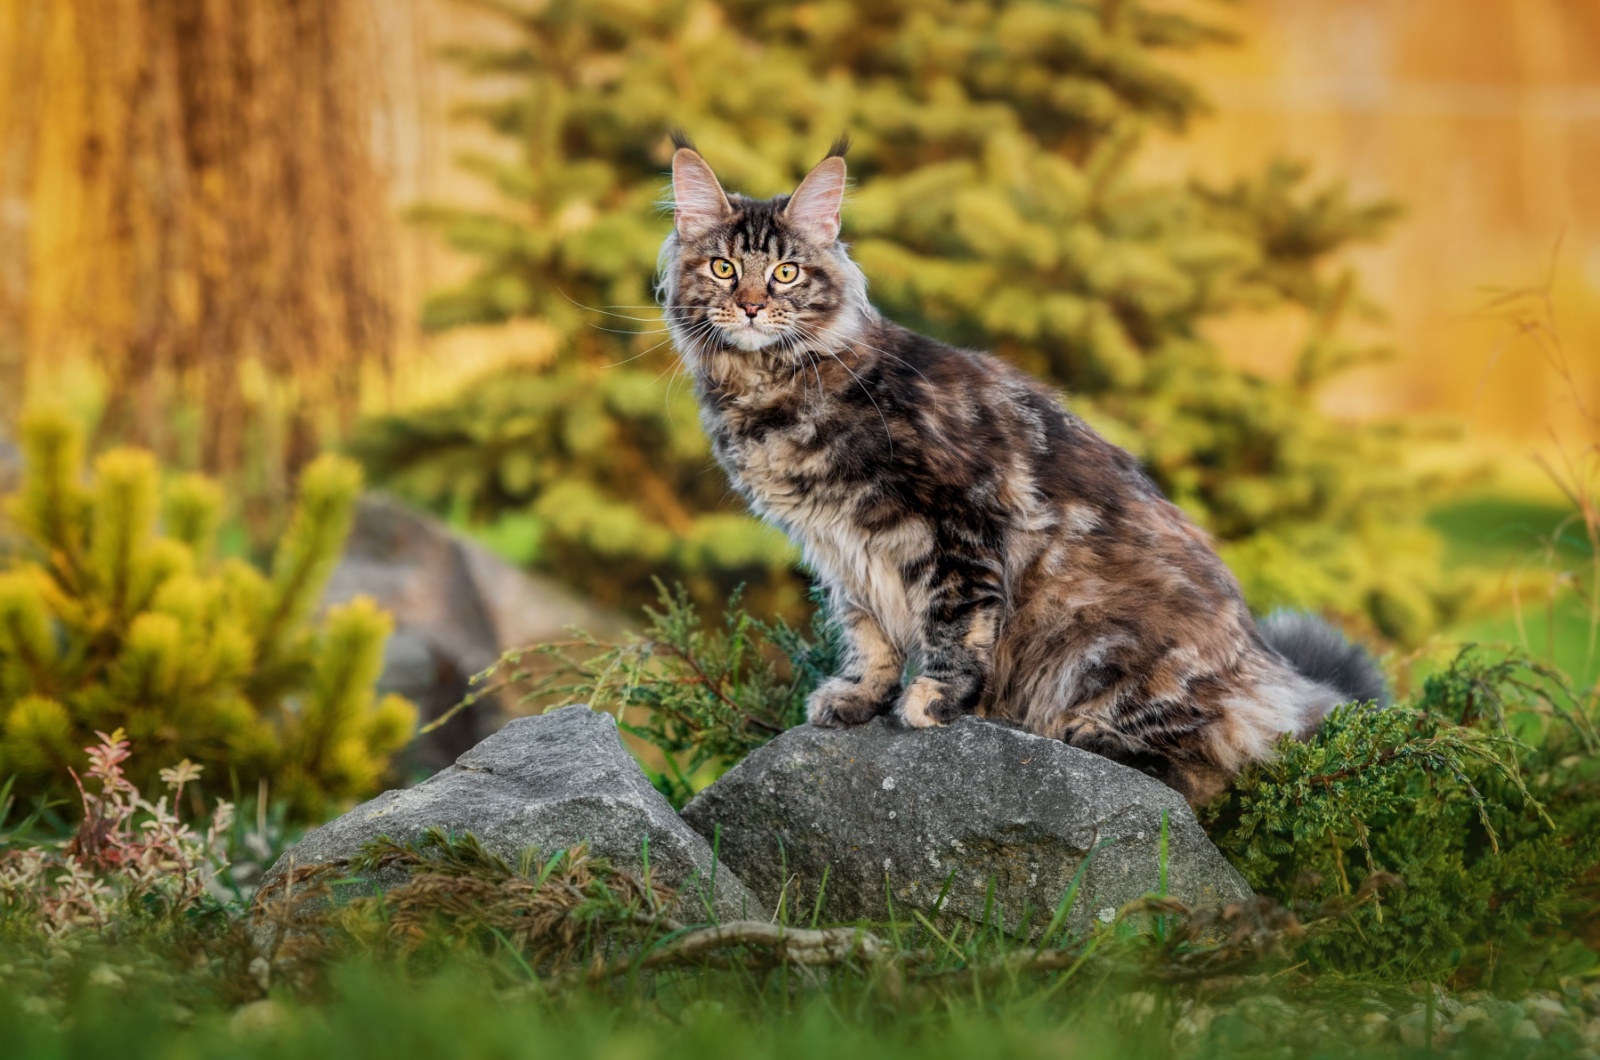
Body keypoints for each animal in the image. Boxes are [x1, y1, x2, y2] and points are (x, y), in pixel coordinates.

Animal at [656, 139, 1382, 807]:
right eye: (724, 268)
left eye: (785, 272)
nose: (752, 306)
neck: (771, 389)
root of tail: (1274, 673)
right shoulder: (842, 551)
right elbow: (868, 635)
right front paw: (860, 696)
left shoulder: (955, 522)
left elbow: (955, 623)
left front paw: (934, 700)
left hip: (1101, 652)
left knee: (1205, 765)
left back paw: (1076, 733)